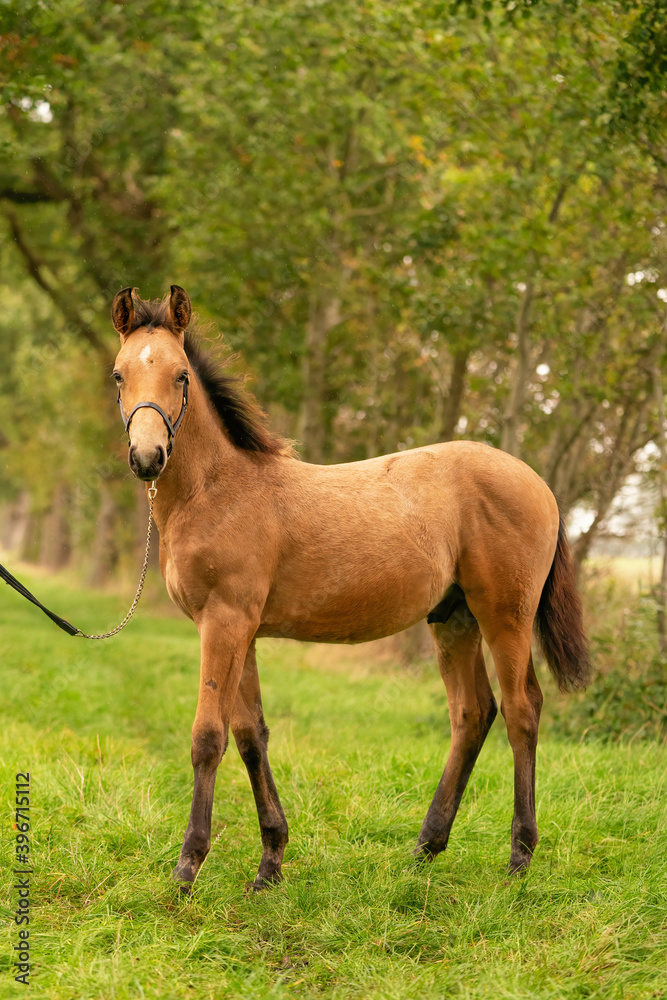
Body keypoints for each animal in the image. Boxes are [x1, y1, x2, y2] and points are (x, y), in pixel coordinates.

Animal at [110, 284, 589, 892]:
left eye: (180, 376)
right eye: (119, 375)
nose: (147, 457)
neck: (218, 490)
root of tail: (538, 483)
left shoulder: (224, 622)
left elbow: (208, 737)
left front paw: (187, 867)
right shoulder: (242, 631)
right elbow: (249, 735)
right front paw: (270, 863)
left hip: (505, 615)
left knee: (522, 709)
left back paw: (519, 858)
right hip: (453, 619)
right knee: (473, 713)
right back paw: (426, 848)